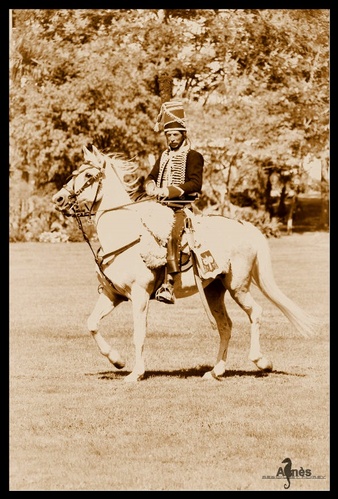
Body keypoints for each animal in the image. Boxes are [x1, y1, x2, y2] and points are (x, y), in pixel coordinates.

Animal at [51, 145, 316, 382]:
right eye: (75, 172)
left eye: (88, 175)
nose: (58, 198)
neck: (124, 235)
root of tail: (246, 226)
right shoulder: (111, 294)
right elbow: (92, 323)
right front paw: (117, 360)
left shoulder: (139, 294)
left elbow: (139, 334)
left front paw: (136, 373)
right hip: (214, 290)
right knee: (226, 326)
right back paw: (216, 371)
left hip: (237, 286)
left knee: (255, 313)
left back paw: (261, 361)